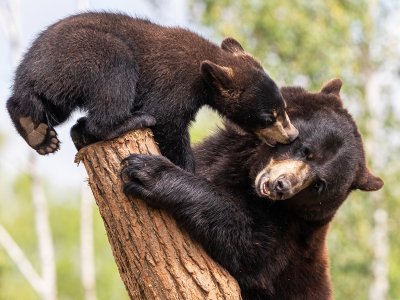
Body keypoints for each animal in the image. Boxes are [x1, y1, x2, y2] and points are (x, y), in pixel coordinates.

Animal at [6, 11, 296, 171]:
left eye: (283, 108)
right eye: (268, 117)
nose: (291, 135)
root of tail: (26, 71)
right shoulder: (174, 83)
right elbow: (167, 120)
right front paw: (187, 168)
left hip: (56, 84)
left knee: (43, 106)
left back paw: (37, 132)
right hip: (85, 53)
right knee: (115, 69)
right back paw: (126, 122)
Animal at [122, 78, 384, 298]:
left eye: (319, 185)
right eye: (306, 150)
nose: (282, 186)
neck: (248, 176)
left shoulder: (289, 234)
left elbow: (250, 247)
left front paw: (149, 172)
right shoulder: (217, 154)